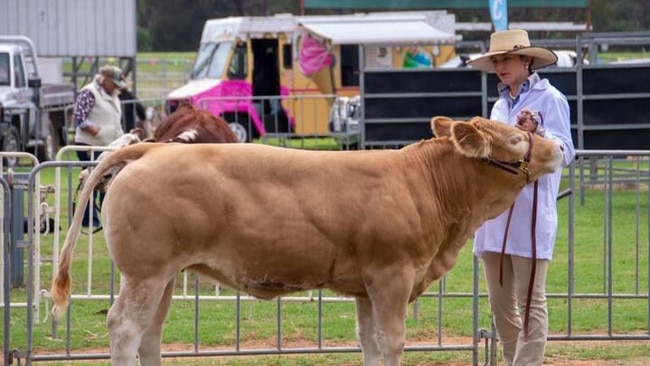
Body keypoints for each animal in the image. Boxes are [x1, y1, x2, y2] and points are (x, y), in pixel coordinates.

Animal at [52, 116, 560, 364]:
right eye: (518, 138)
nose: (557, 147)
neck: (423, 182)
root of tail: (152, 149)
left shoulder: (367, 286)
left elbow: (369, 343)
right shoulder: (392, 276)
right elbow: (392, 342)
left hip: (164, 276)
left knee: (150, 335)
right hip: (146, 273)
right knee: (125, 329)